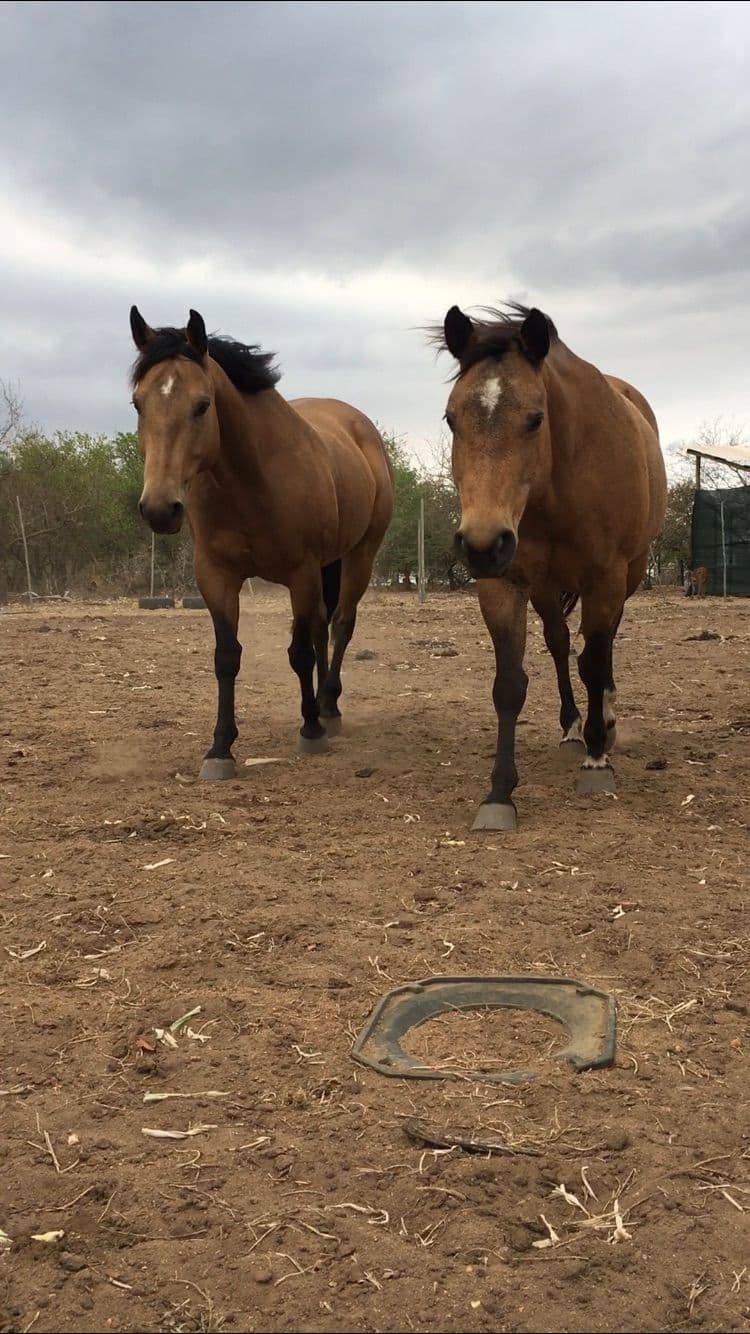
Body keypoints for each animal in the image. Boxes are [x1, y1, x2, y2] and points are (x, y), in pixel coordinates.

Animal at [129, 307, 393, 777]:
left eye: (202, 405)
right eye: (138, 404)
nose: (160, 509)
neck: (250, 481)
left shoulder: (300, 574)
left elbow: (299, 652)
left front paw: (310, 731)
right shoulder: (216, 578)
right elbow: (227, 657)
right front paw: (220, 748)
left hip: (359, 556)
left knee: (340, 625)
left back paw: (327, 709)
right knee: (323, 625)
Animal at [432, 302, 667, 831]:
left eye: (535, 419)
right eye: (451, 419)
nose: (482, 544)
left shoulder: (606, 579)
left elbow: (595, 663)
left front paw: (598, 760)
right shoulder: (503, 584)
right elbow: (509, 686)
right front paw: (499, 794)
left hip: (628, 576)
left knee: (600, 647)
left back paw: (604, 723)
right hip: (543, 587)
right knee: (560, 645)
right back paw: (572, 726)